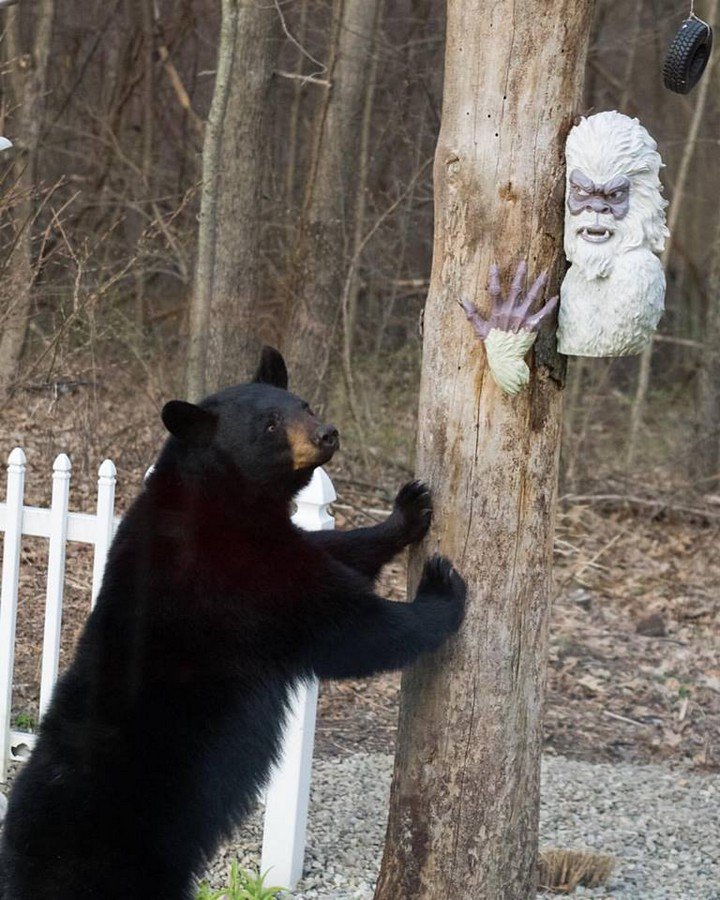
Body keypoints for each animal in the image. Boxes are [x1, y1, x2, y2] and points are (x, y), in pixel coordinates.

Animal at [0, 347, 466, 900]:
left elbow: (336, 550)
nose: (327, 433)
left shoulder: (276, 541)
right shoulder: (239, 580)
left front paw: (408, 510)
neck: (220, 499)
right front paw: (442, 590)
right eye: (268, 425)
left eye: (303, 404)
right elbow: (348, 628)